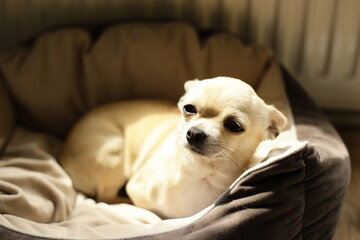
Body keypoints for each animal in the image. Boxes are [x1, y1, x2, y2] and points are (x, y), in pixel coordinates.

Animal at [61, 77, 286, 219]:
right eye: (189, 108)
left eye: (234, 126)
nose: (193, 133)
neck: (201, 175)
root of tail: (63, 154)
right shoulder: (136, 188)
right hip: (115, 152)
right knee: (105, 196)